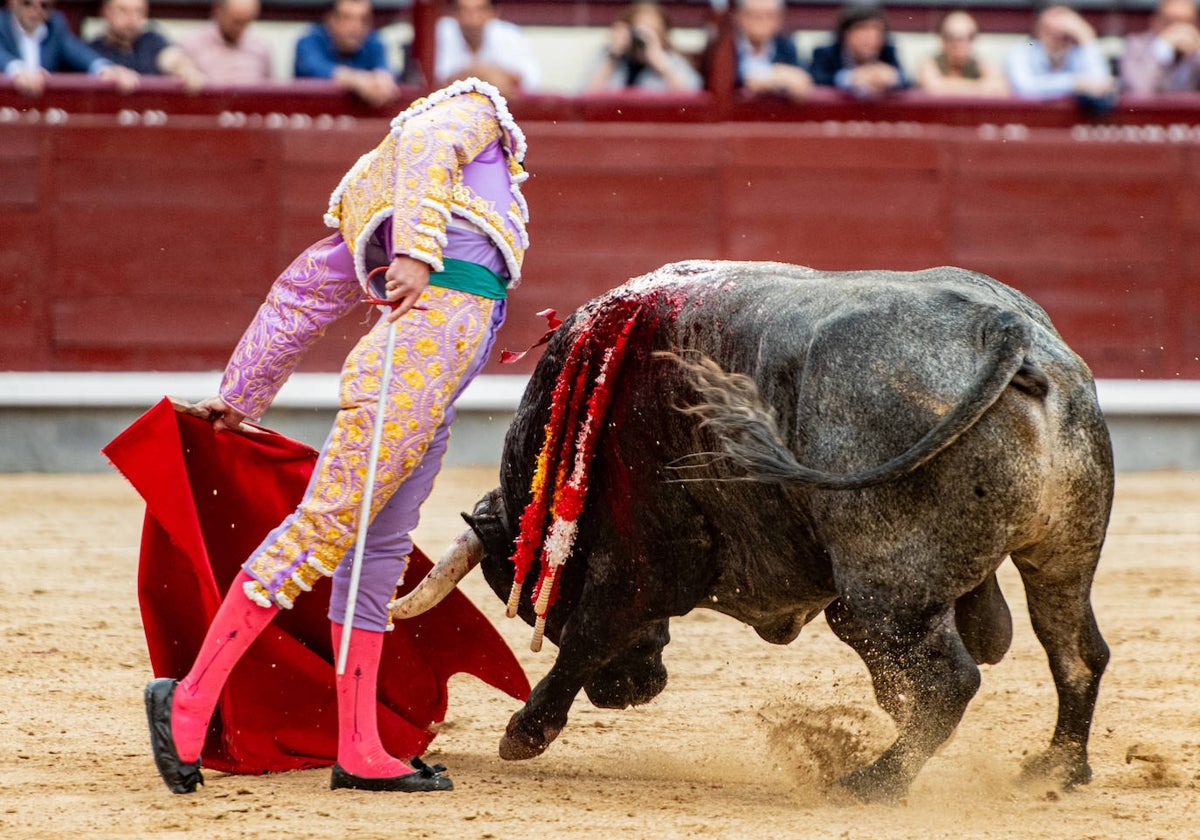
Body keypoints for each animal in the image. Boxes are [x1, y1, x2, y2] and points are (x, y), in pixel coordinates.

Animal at [393, 260, 1113, 801]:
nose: (629, 693)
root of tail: (1006, 328)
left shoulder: (643, 556)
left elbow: (588, 634)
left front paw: (524, 731)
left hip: (889, 583)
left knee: (949, 683)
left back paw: (870, 783)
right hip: (1060, 554)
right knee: (1075, 650)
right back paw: (1056, 770)